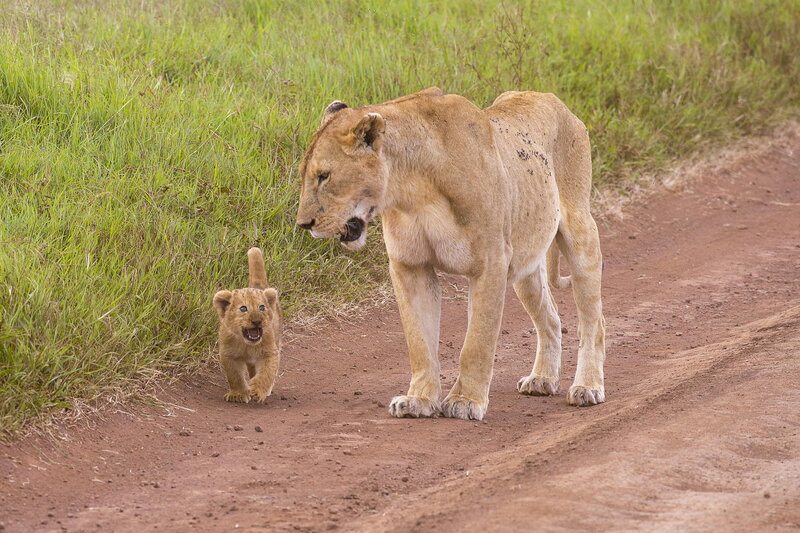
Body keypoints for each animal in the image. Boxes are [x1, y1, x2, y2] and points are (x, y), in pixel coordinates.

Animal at [213, 247, 282, 403]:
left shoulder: (270, 352)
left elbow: (267, 372)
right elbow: (235, 376)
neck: (248, 345)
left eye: (262, 307)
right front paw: (238, 395)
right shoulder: (228, 355)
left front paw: (257, 390)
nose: (256, 321)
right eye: (243, 308)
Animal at [296, 88, 605, 420]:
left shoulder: (491, 262)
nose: (303, 224)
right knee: (551, 319)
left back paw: (587, 388)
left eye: (324, 176)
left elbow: (477, 342)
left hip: (580, 232)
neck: (412, 191)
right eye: (305, 175)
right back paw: (542, 379)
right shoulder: (410, 266)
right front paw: (418, 399)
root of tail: (548, 95)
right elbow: (419, 341)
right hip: (526, 265)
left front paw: (466, 401)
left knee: (593, 321)